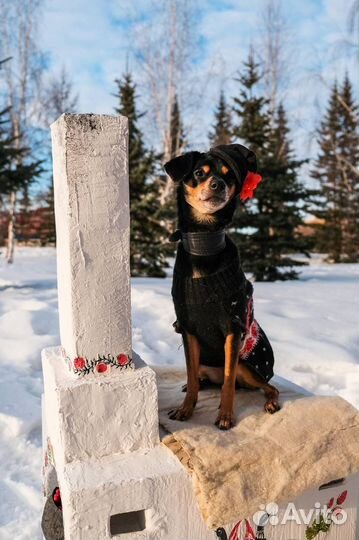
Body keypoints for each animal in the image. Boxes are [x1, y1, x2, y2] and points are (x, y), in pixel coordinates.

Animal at [164, 143, 282, 430]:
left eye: (229, 176)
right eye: (199, 172)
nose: (218, 184)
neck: (204, 244)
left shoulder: (232, 328)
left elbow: (228, 382)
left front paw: (226, 416)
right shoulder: (188, 330)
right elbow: (191, 377)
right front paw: (185, 410)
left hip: (247, 367)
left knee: (267, 386)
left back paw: (270, 403)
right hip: (204, 363)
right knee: (198, 378)